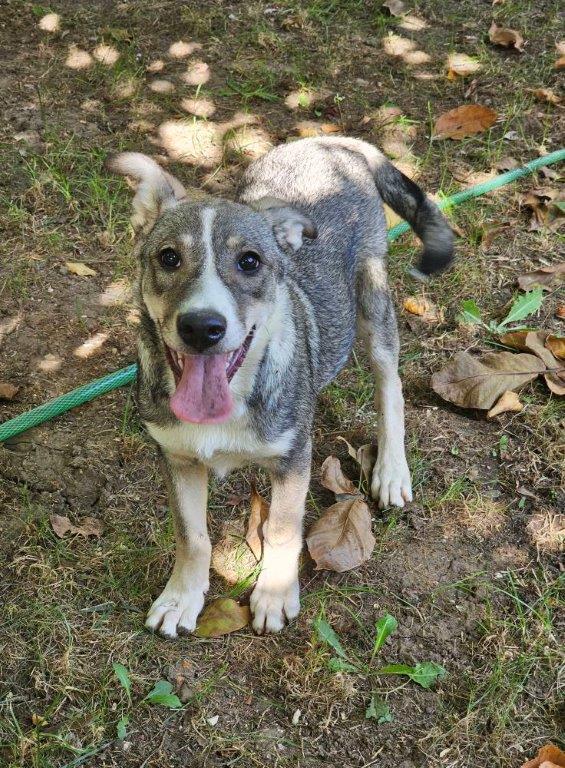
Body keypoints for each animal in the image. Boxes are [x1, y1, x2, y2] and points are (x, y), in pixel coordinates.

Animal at [107, 136, 453, 637]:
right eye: (168, 257)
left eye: (250, 261)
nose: (201, 327)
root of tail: (334, 142)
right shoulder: (177, 457)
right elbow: (192, 536)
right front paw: (181, 599)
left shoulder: (293, 458)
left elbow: (284, 527)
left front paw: (273, 595)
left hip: (373, 295)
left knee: (389, 382)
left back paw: (391, 470)